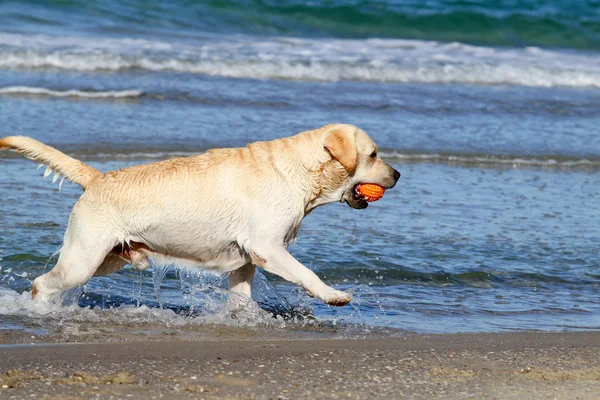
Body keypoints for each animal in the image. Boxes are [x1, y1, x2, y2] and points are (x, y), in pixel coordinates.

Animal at [2, 124, 400, 306]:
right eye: (373, 154)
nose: (397, 174)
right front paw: (334, 295)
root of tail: (98, 177)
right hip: (83, 259)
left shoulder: (246, 260)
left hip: (106, 258)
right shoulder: (268, 249)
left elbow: (241, 298)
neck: (299, 171)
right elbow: (307, 274)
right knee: (41, 283)